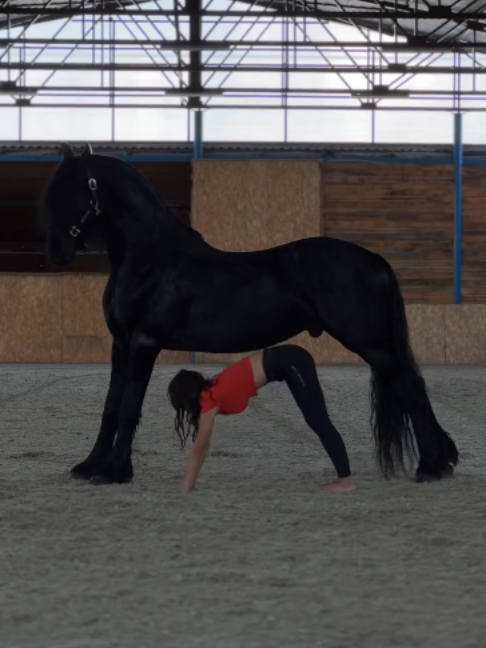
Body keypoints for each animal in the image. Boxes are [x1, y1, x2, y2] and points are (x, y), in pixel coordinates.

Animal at [42, 143, 459, 486]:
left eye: (68, 190)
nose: (56, 252)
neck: (150, 258)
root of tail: (375, 260)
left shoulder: (145, 343)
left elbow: (129, 407)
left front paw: (115, 471)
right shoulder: (121, 344)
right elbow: (111, 407)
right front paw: (91, 466)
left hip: (372, 344)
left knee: (412, 389)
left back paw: (431, 467)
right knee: (411, 387)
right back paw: (442, 460)